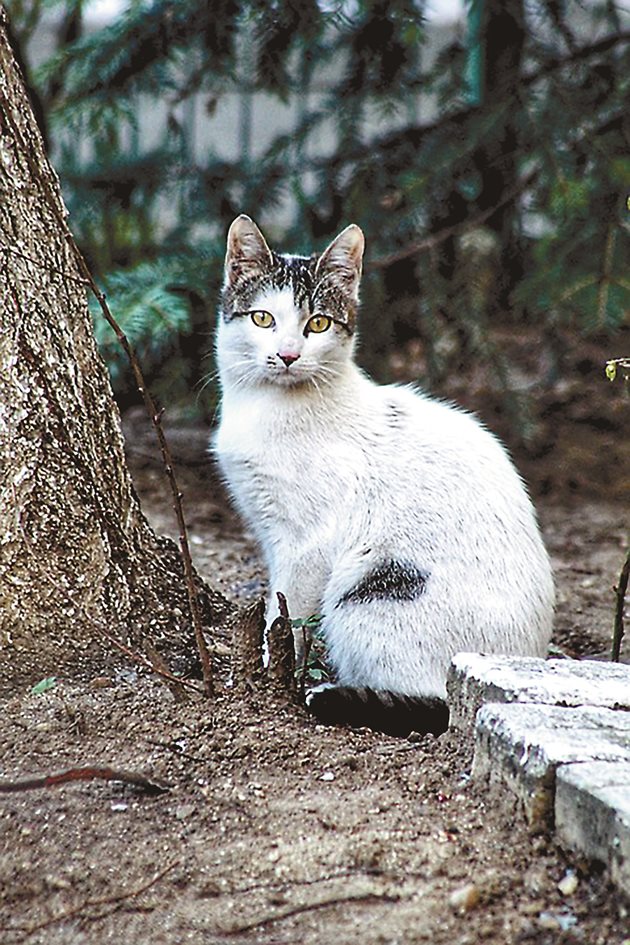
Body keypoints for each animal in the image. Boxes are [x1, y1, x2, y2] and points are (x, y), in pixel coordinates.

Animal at [214, 216, 556, 736]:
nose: (289, 355)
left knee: (436, 704)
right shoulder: (270, 532)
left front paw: (274, 676)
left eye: (318, 323)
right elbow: (276, 603)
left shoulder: (308, 543)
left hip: (367, 591)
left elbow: (286, 615)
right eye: (262, 319)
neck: (267, 407)